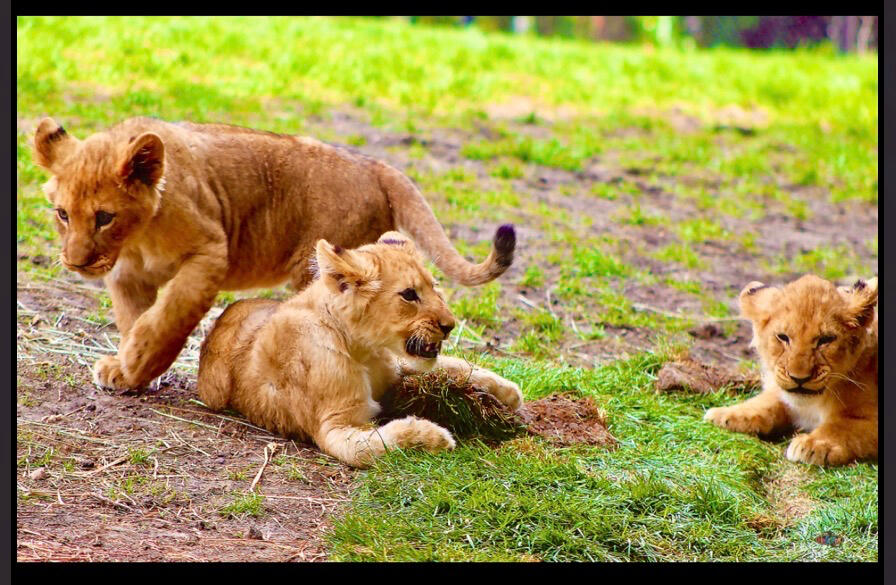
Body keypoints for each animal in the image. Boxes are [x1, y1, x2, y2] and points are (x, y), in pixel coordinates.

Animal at [31, 117, 515, 391]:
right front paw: (129, 373)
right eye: (62, 214)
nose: (75, 262)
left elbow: (169, 318)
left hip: (316, 265)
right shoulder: (127, 277)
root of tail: (375, 164)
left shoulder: (211, 253)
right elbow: (135, 320)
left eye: (104, 217)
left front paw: (138, 362)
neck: (137, 237)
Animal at [197, 232, 524, 468]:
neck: (365, 351)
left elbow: (456, 364)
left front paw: (510, 391)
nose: (450, 325)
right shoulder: (332, 428)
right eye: (409, 295)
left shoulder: (396, 366)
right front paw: (435, 436)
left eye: (435, 287)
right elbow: (378, 444)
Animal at [704, 274, 877, 466]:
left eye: (826, 340)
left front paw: (811, 444)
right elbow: (768, 401)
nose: (799, 378)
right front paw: (725, 414)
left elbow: (842, 426)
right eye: (783, 337)